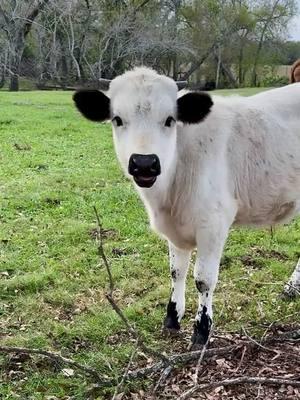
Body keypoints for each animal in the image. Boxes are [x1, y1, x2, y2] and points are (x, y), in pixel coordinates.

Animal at [73, 68, 300, 344]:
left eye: (170, 119)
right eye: (117, 119)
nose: (145, 163)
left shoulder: (214, 224)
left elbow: (203, 279)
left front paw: (202, 330)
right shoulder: (175, 229)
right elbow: (176, 271)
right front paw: (172, 317)